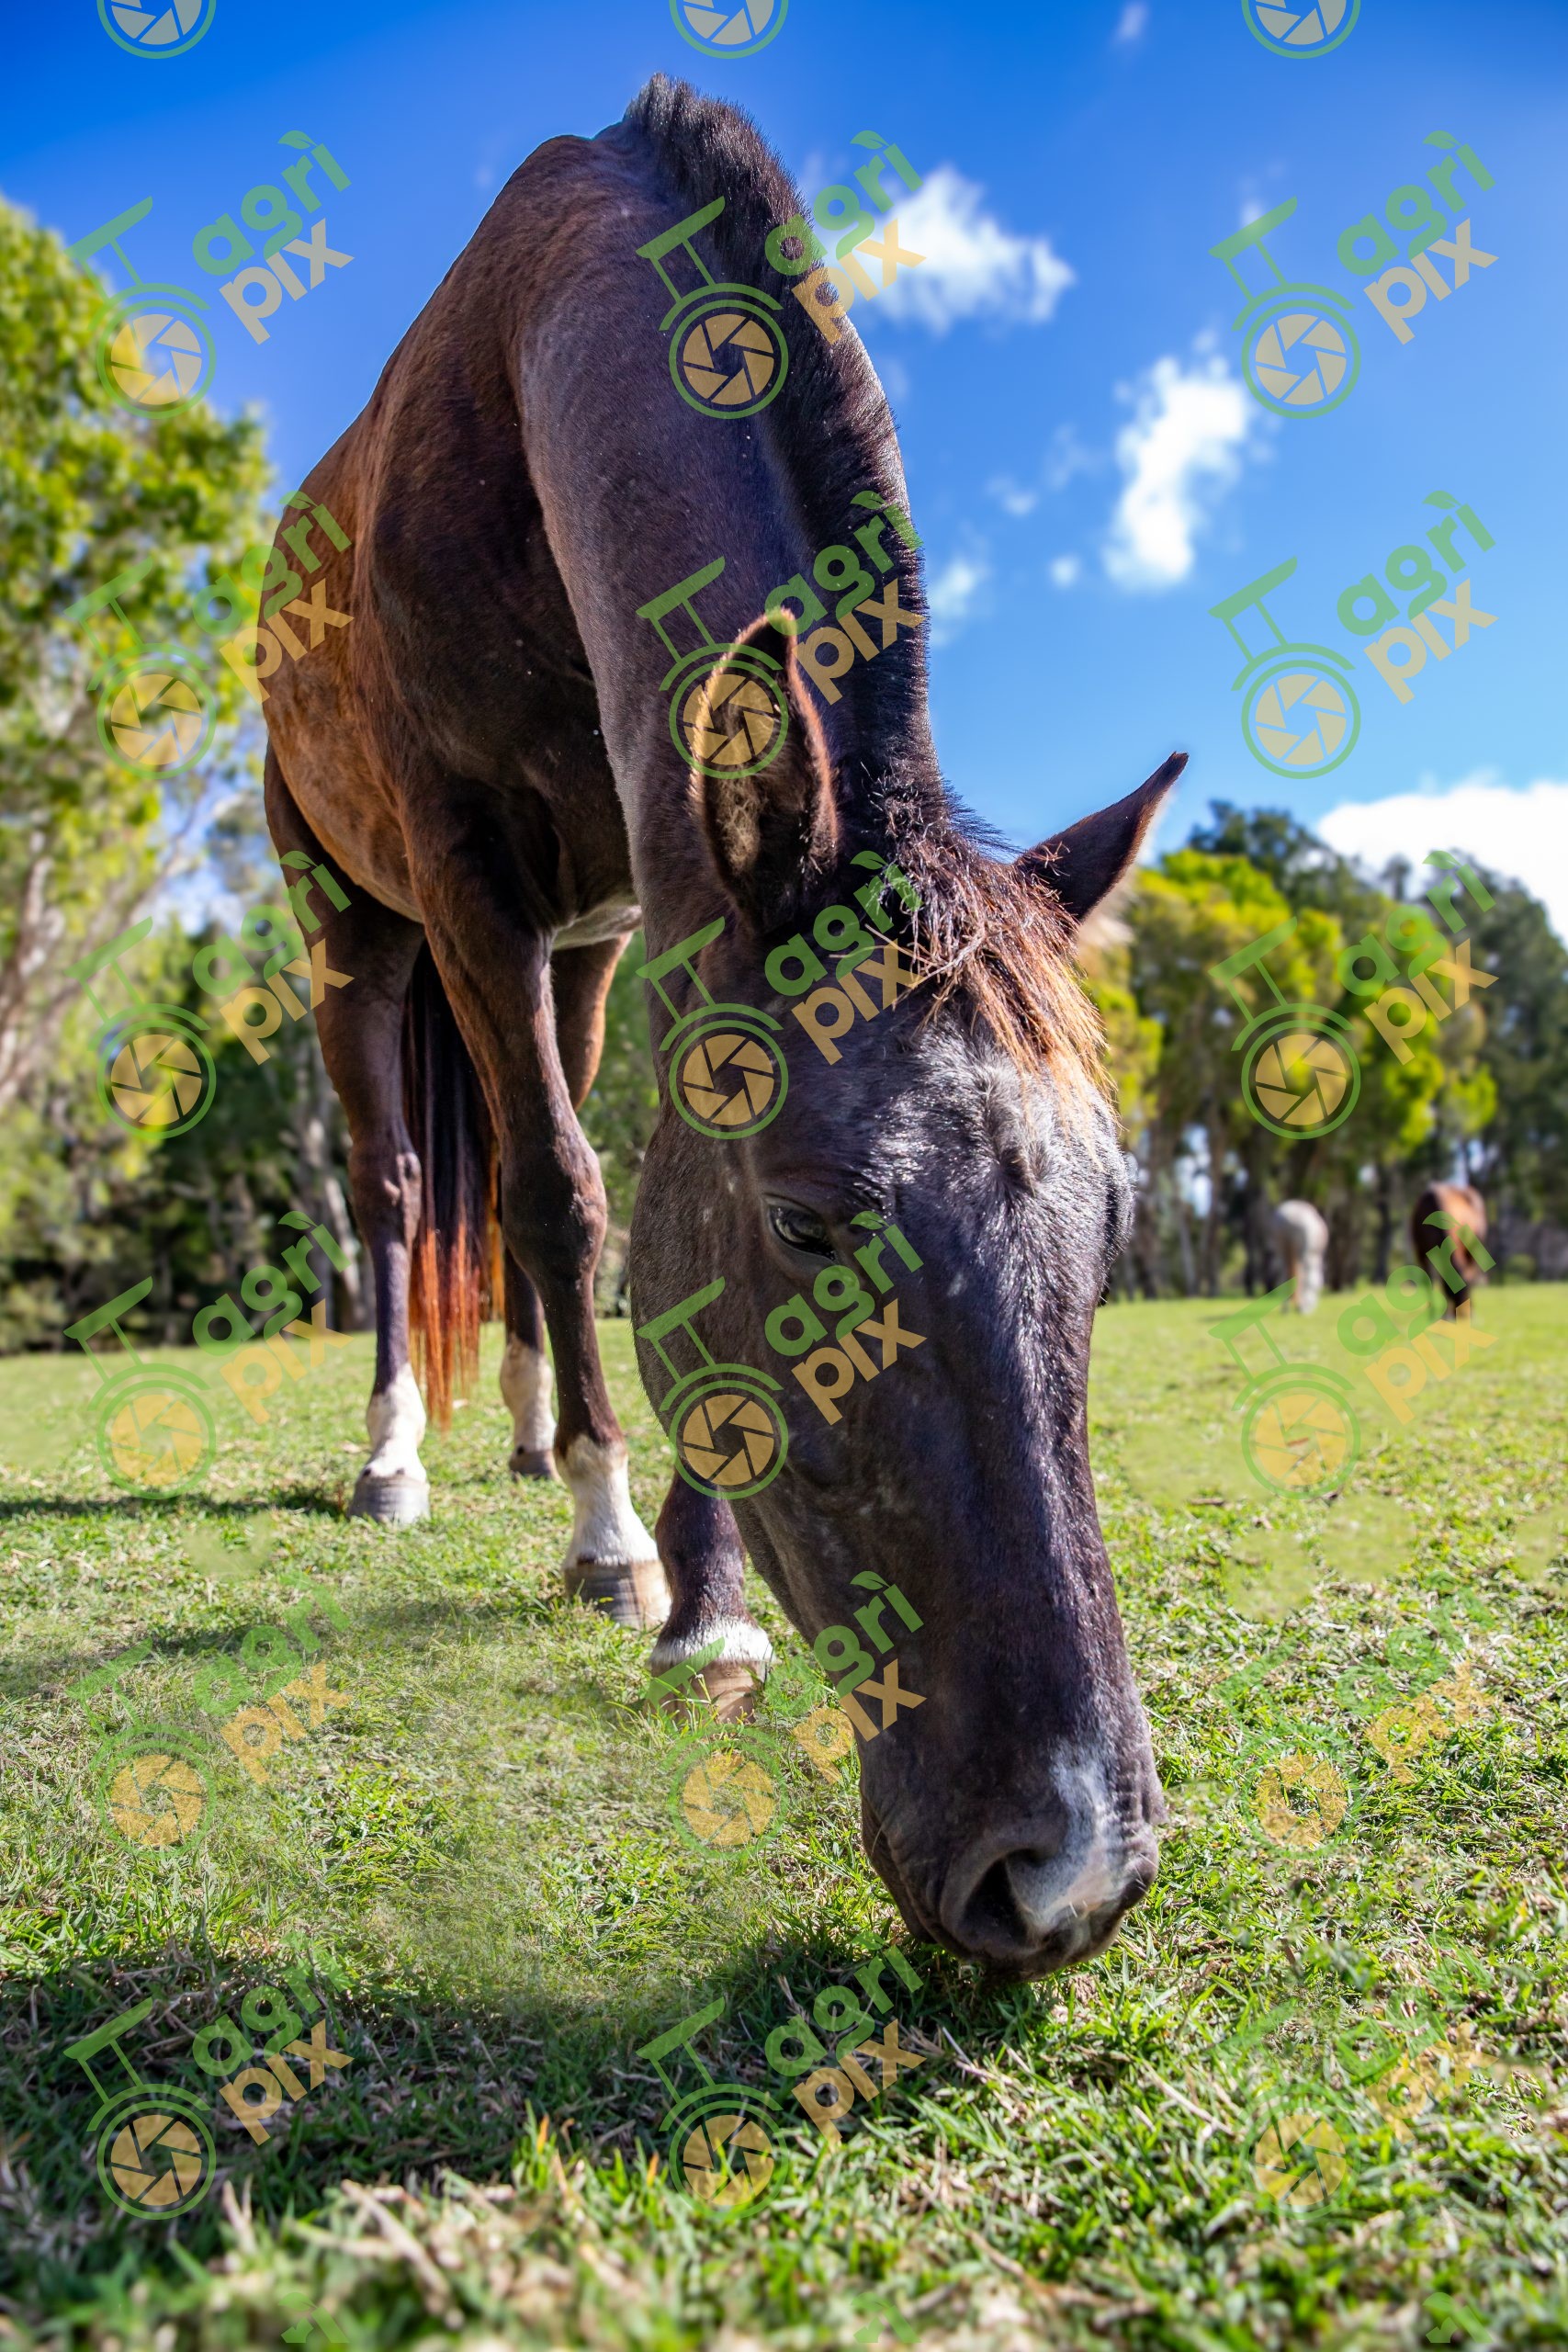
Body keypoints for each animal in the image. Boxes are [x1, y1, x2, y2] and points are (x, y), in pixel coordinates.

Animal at [256, 75, 1179, 1976]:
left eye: (1113, 1217)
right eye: (811, 1222)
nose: (1074, 1875)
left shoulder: (634, 914)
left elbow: (601, 1210)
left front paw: (704, 1593)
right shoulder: (468, 883)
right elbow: (564, 1197)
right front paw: (625, 1556)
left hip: (563, 954)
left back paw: (528, 1432)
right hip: (352, 933)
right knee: (402, 1192)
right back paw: (403, 1457)